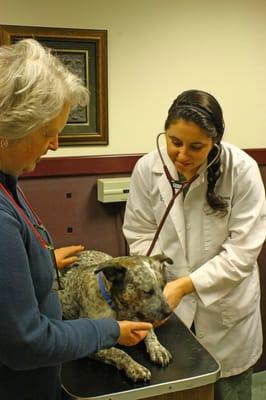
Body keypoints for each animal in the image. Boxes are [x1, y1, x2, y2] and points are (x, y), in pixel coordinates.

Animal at [58, 250, 172, 382]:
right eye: (147, 292)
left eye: (163, 287)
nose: (169, 312)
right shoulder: (94, 346)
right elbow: (119, 353)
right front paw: (134, 367)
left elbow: (150, 331)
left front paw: (157, 348)